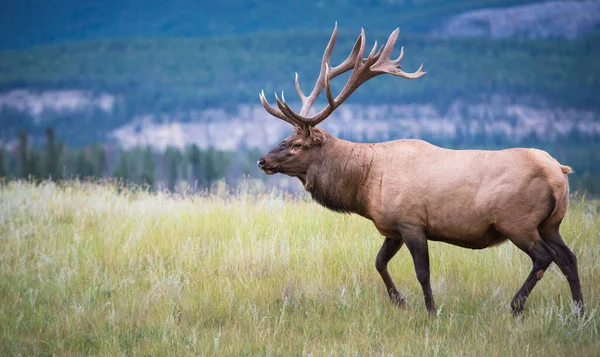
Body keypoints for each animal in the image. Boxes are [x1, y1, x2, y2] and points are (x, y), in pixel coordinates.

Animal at [255, 24, 584, 314]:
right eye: (286, 139)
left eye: (297, 144)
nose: (263, 160)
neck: (365, 185)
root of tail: (559, 173)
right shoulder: (392, 226)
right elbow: (379, 262)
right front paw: (399, 301)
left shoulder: (411, 222)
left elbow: (422, 272)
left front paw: (431, 311)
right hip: (551, 223)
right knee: (568, 258)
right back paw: (579, 311)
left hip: (517, 221)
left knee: (543, 258)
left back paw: (516, 306)